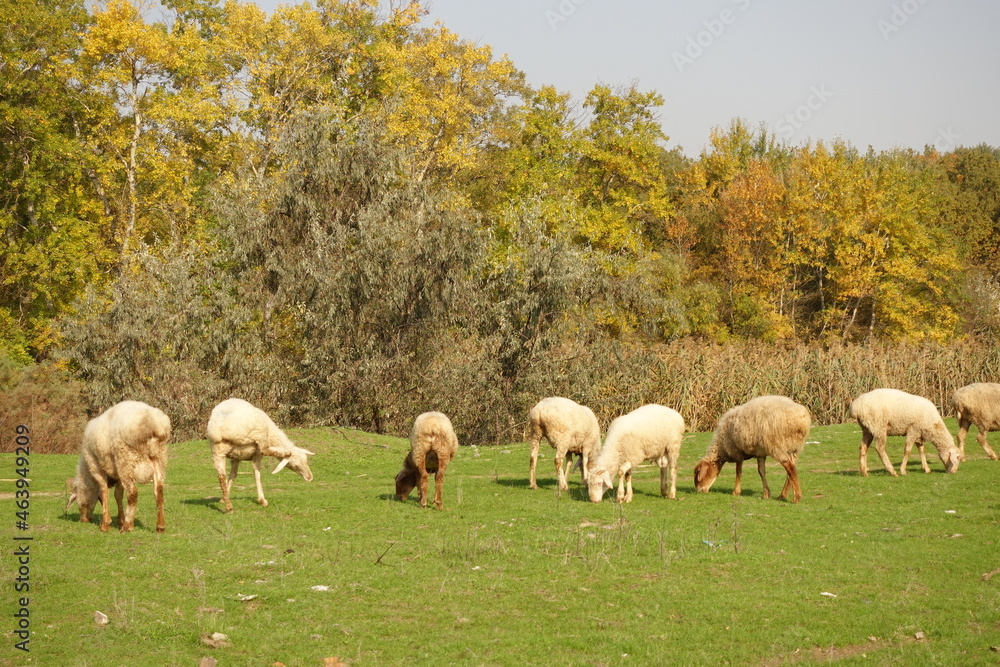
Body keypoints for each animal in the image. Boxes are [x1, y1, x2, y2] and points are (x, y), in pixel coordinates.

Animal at [66, 400, 170, 533]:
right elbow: (118, 495)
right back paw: (160, 527)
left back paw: (128, 526)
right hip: (159, 458)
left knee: (133, 493)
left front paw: (106, 524)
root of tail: (152, 422)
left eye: (79, 503)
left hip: (125, 458)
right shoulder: (117, 472)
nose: (83, 520)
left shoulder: (96, 466)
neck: (88, 476)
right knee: (159, 492)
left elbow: (104, 491)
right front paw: (120, 521)